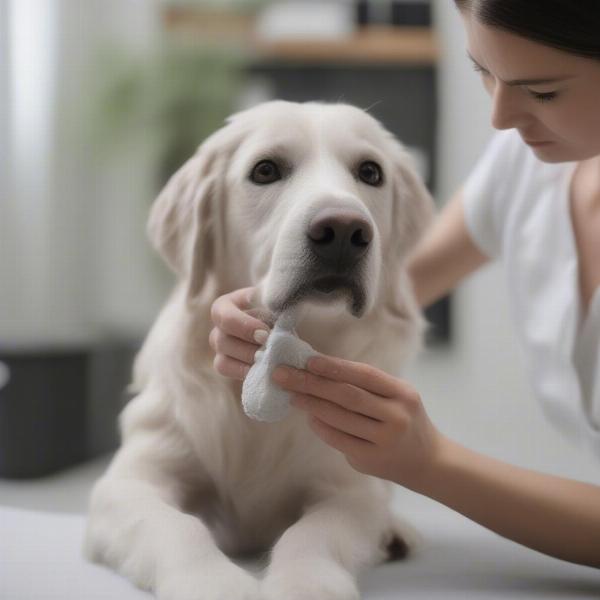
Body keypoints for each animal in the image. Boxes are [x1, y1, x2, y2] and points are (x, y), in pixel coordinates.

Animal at [83, 101, 432, 596]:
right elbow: (176, 526)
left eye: (370, 172)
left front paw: (306, 585)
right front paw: (213, 584)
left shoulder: (347, 488)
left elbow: (313, 534)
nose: (344, 230)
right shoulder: (130, 481)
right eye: (265, 170)